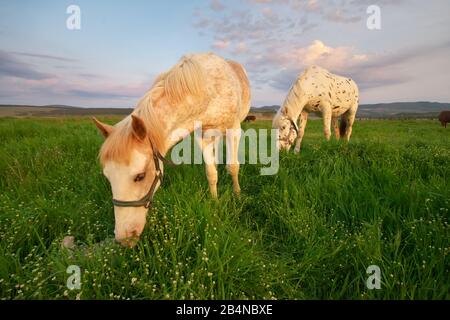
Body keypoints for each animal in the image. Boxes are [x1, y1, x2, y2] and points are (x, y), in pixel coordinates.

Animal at [93, 53, 251, 248]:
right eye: (107, 177)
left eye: (140, 176)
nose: (124, 239)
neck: (208, 90)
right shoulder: (202, 135)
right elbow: (211, 173)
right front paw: (215, 203)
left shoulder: (234, 128)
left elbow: (233, 167)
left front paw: (237, 196)